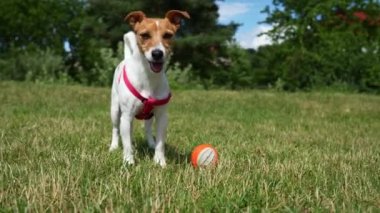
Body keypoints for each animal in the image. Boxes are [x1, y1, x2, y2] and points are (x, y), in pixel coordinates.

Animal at [109, 10, 189, 166]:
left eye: (168, 35)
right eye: (145, 35)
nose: (157, 53)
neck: (149, 78)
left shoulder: (162, 117)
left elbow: (160, 143)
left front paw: (159, 161)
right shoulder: (126, 116)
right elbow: (126, 143)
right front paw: (129, 161)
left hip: (149, 116)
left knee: (147, 129)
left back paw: (150, 143)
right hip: (115, 110)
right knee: (116, 129)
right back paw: (114, 146)